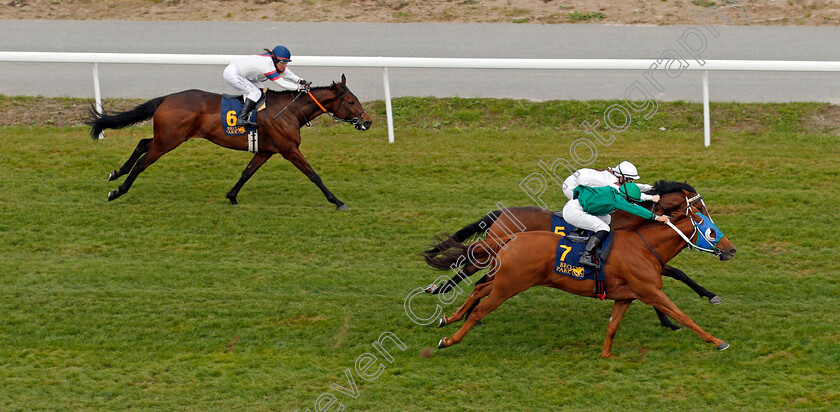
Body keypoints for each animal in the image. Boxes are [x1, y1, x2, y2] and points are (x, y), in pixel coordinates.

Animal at [86, 74, 370, 209]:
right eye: (351, 101)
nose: (367, 121)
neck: (288, 111)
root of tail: (166, 98)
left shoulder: (266, 150)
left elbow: (247, 173)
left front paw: (232, 196)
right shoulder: (289, 149)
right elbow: (314, 175)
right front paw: (338, 201)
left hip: (166, 137)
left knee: (143, 143)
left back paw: (116, 173)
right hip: (169, 140)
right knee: (143, 162)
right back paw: (118, 191)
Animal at [426, 183, 736, 358]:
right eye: (703, 215)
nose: (731, 250)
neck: (641, 240)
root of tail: (503, 220)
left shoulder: (633, 291)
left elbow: (616, 323)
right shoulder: (648, 287)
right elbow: (681, 311)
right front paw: (711, 335)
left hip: (506, 277)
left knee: (479, 285)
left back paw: (450, 316)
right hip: (508, 281)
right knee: (474, 283)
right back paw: (450, 320)